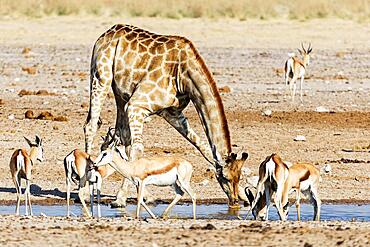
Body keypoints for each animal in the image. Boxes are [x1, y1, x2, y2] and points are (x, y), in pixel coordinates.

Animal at [84, 24, 249, 207]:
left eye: (239, 177)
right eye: (225, 177)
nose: (234, 200)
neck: (184, 75)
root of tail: (107, 33)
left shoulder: (172, 113)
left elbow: (203, 147)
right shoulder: (137, 105)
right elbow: (138, 148)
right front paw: (120, 199)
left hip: (121, 94)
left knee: (120, 135)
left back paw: (148, 195)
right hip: (101, 77)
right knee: (91, 125)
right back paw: (84, 191)